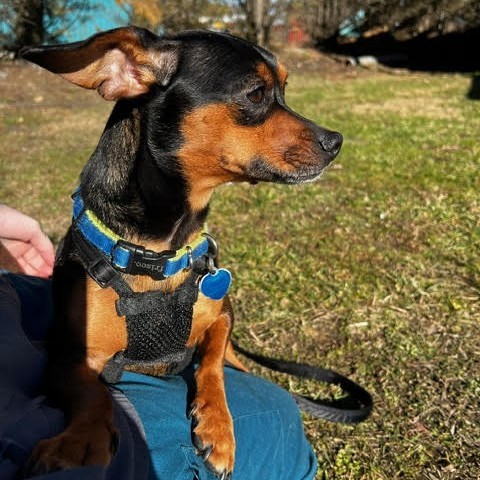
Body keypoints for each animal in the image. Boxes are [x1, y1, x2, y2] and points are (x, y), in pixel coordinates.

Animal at [21, 27, 342, 480]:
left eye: (284, 88)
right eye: (256, 93)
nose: (337, 141)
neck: (158, 255)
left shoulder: (223, 315)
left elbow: (212, 363)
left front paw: (218, 425)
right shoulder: (66, 358)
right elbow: (93, 394)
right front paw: (80, 441)